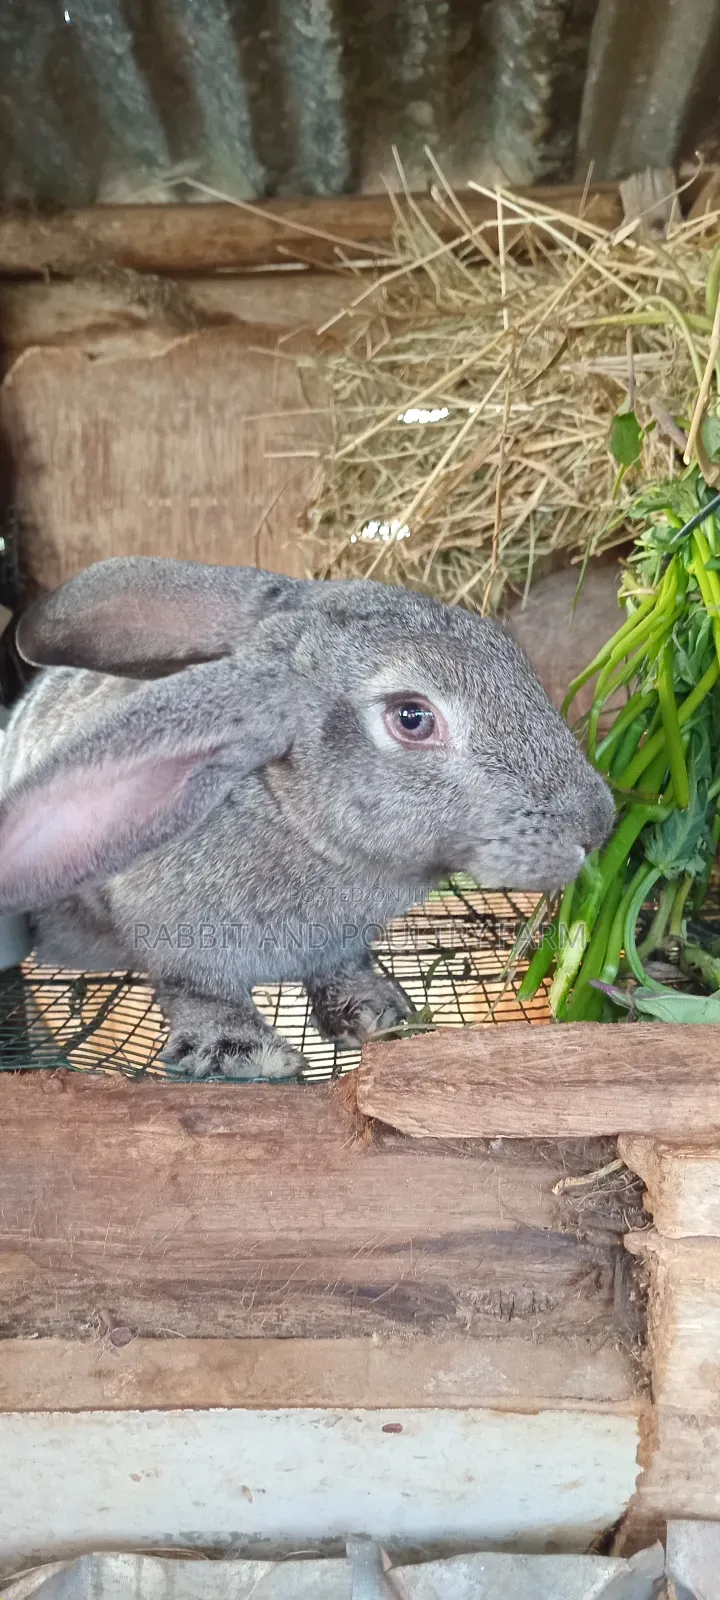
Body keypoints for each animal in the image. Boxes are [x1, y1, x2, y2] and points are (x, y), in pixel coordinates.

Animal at [0, 556, 614, 1079]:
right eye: (412, 718)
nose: (596, 826)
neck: (295, 821)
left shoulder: (339, 947)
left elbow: (341, 970)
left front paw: (375, 1011)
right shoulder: (176, 945)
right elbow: (200, 993)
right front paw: (245, 1052)